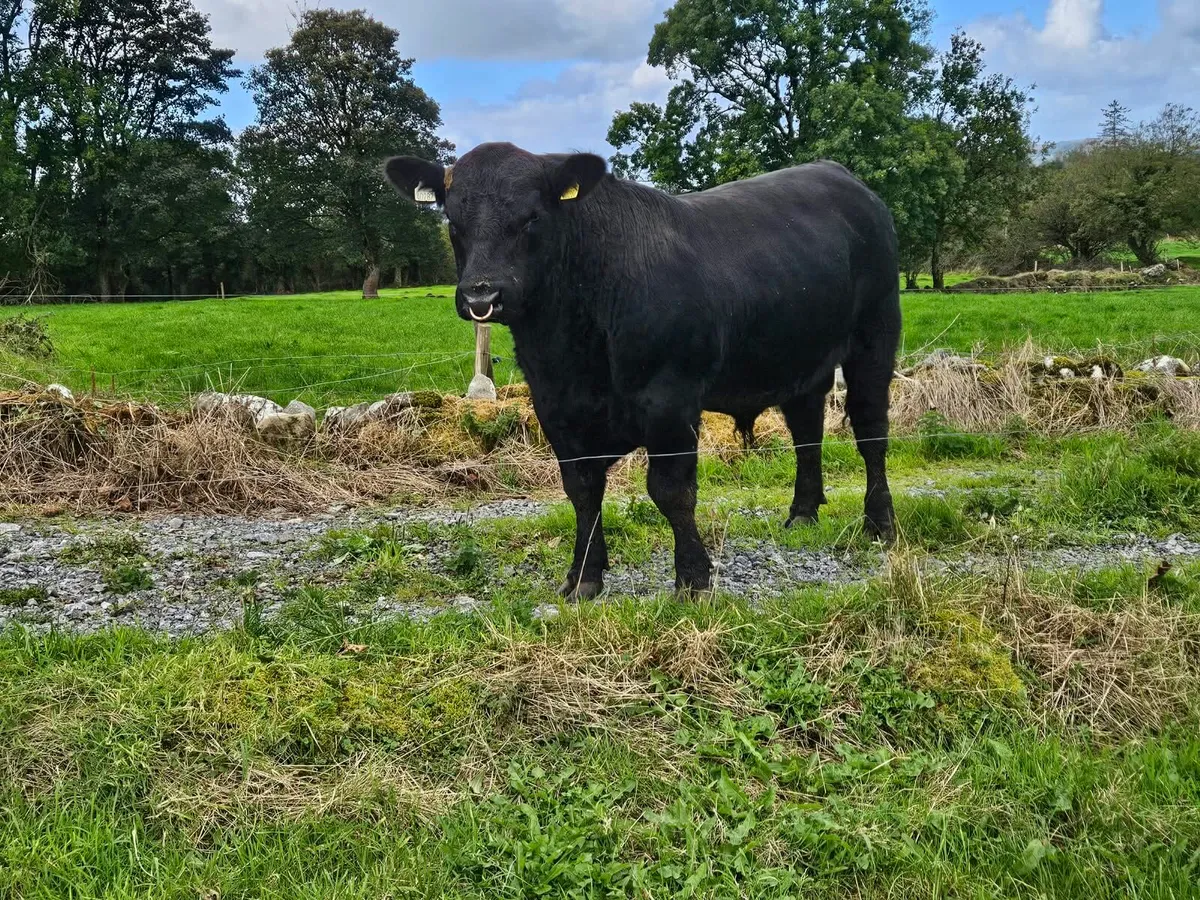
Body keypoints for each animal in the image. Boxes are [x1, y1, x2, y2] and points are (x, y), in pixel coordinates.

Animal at [385, 142, 900, 599]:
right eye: (453, 221)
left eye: (532, 217)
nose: (481, 295)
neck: (572, 349)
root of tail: (842, 176)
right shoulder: (554, 404)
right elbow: (582, 490)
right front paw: (583, 576)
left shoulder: (670, 400)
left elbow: (671, 491)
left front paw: (693, 578)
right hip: (801, 358)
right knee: (806, 432)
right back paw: (803, 514)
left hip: (875, 337)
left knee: (871, 432)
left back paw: (880, 523)